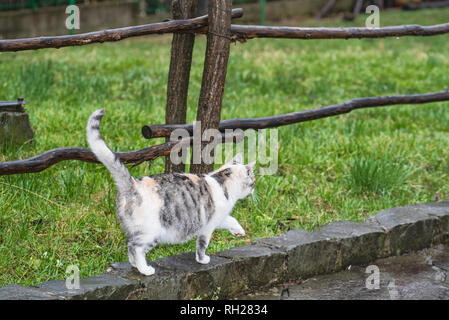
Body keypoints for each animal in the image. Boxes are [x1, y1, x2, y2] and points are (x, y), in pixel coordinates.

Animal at [86, 110, 256, 276]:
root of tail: (133, 184)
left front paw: (239, 231)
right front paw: (202, 260)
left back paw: (134, 265)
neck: (221, 181)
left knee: (129, 245)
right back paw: (145, 269)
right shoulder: (208, 225)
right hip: (151, 232)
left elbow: (231, 219)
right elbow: (202, 245)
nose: (254, 187)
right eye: (253, 180)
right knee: (136, 248)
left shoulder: (217, 218)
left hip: (132, 227)